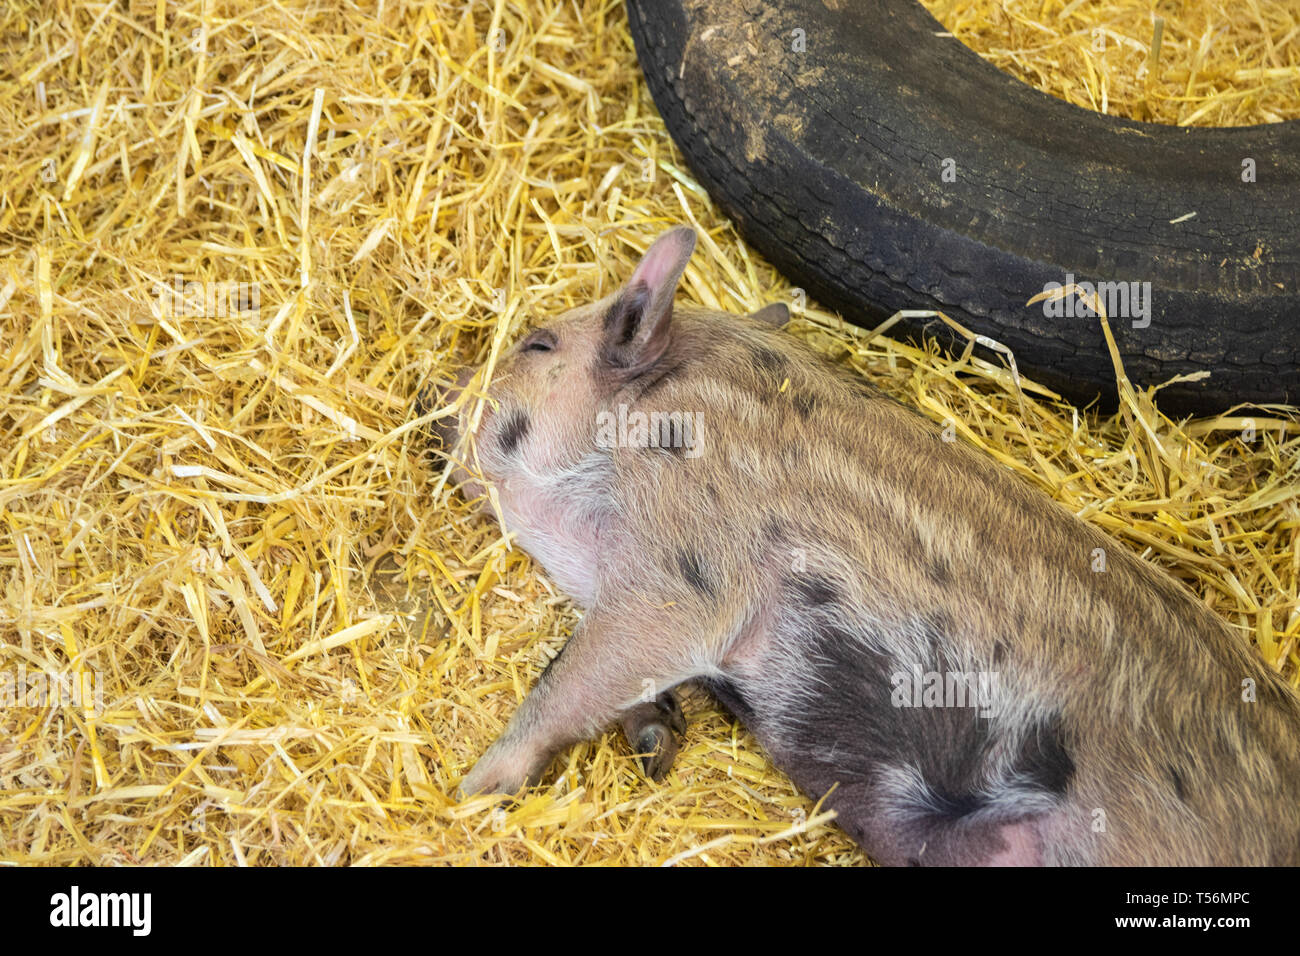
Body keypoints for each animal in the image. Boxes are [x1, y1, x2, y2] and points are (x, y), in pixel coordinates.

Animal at [428, 226, 1300, 865]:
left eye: (538, 345)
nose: (435, 393)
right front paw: (655, 743)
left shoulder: (686, 571)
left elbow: (570, 679)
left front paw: (471, 792)